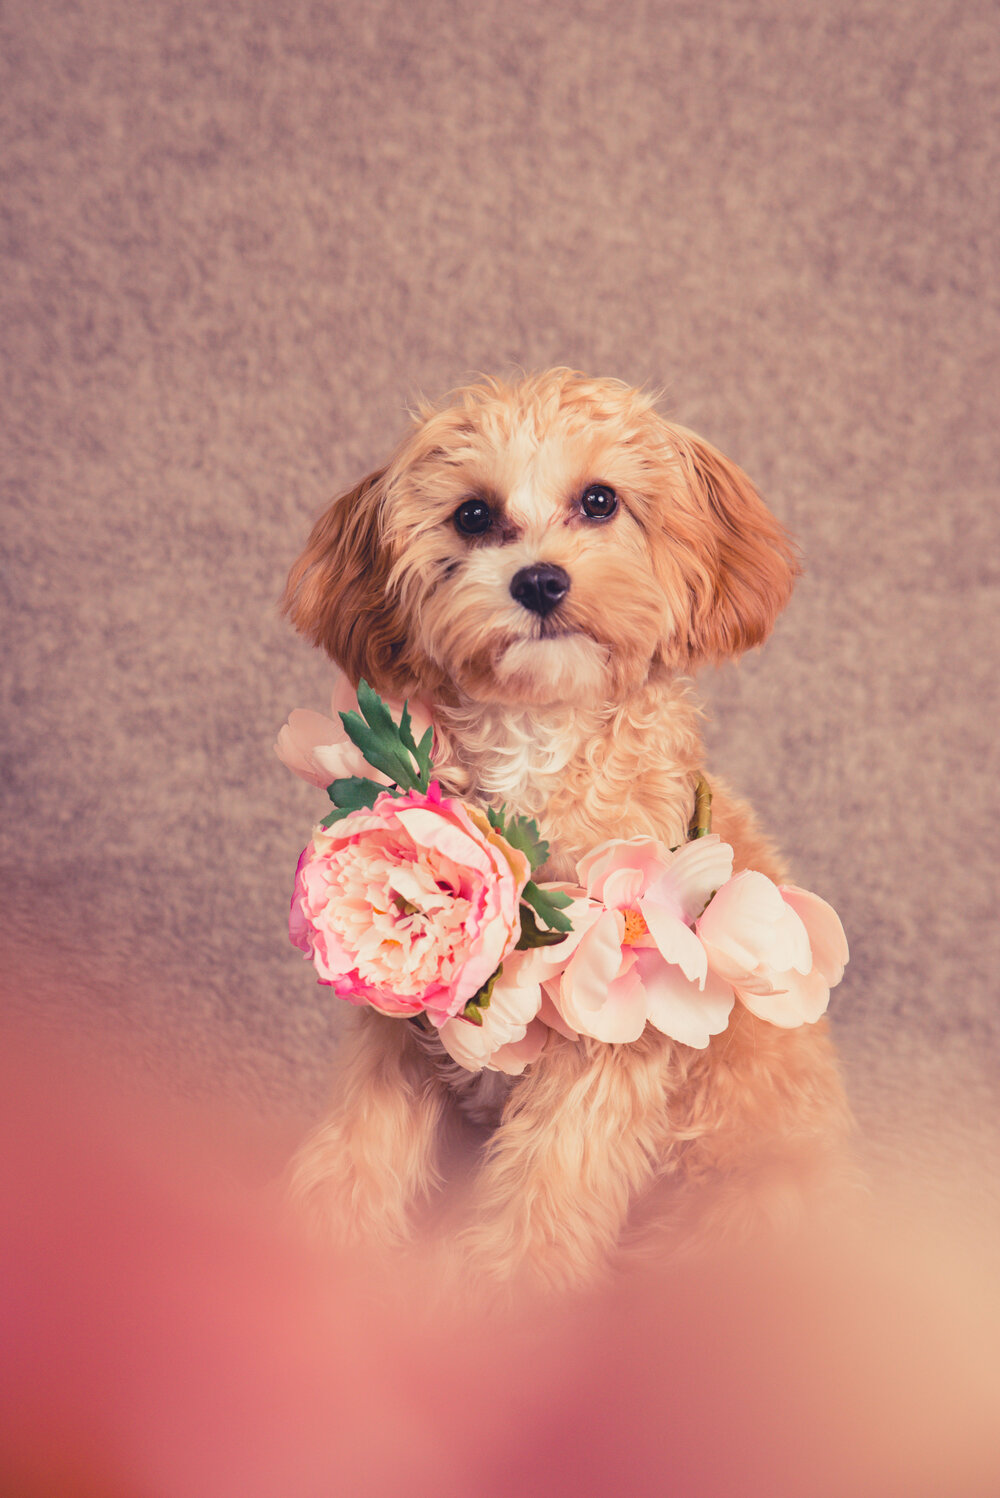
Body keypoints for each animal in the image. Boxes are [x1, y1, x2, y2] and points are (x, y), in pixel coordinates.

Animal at [281, 365, 850, 1288]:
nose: (540, 581)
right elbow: (356, 1154)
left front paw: (493, 1298)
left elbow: (544, 1195)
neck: (538, 740)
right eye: (474, 514)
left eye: (599, 500)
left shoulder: (609, 1048)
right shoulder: (399, 1035)